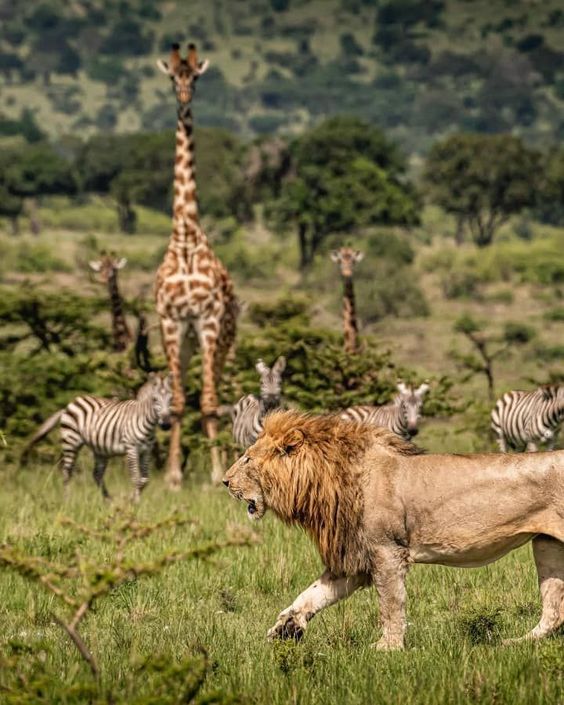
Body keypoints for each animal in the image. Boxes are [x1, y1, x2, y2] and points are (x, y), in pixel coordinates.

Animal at [20, 374, 172, 500]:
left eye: (171, 399)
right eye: (155, 399)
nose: (166, 425)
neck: (146, 421)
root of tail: (68, 405)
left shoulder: (146, 451)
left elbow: (144, 480)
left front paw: (134, 500)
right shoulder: (131, 449)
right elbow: (136, 478)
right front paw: (133, 502)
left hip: (100, 449)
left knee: (97, 474)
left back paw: (108, 500)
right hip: (70, 442)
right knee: (67, 471)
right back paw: (67, 500)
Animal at [223, 412, 560, 648]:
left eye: (247, 458)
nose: (225, 481)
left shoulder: (386, 550)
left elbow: (391, 602)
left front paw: (388, 647)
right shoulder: (354, 556)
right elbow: (313, 594)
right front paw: (285, 627)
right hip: (547, 545)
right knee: (555, 610)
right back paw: (518, 642)